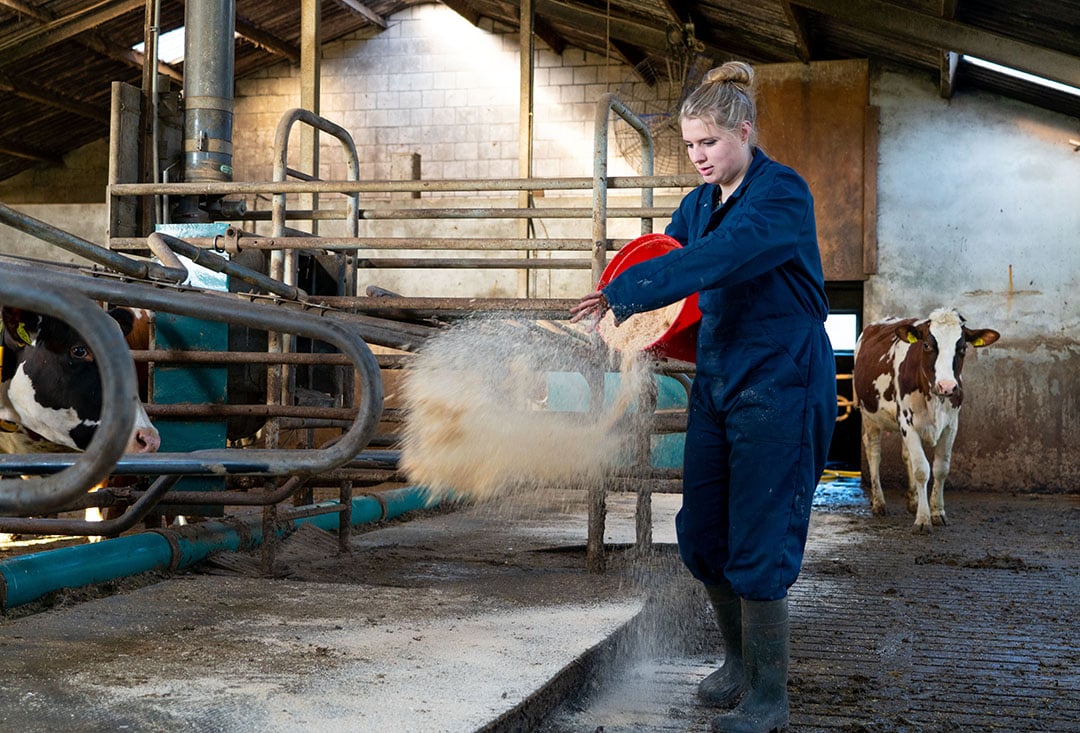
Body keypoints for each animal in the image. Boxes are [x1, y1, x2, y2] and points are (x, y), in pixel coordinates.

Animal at [855, 308, 997, 533]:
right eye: (927, 345)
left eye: (962, 347)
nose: (947, 386)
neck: (934, 398)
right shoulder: (907, 423)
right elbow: (922, 469)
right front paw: (923, 519)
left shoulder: (951, 425)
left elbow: (940, 469)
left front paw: (937, 512)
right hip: (869, 415)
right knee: (874, 453)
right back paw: (879, 502)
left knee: (906, 456)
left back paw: (913, 501)